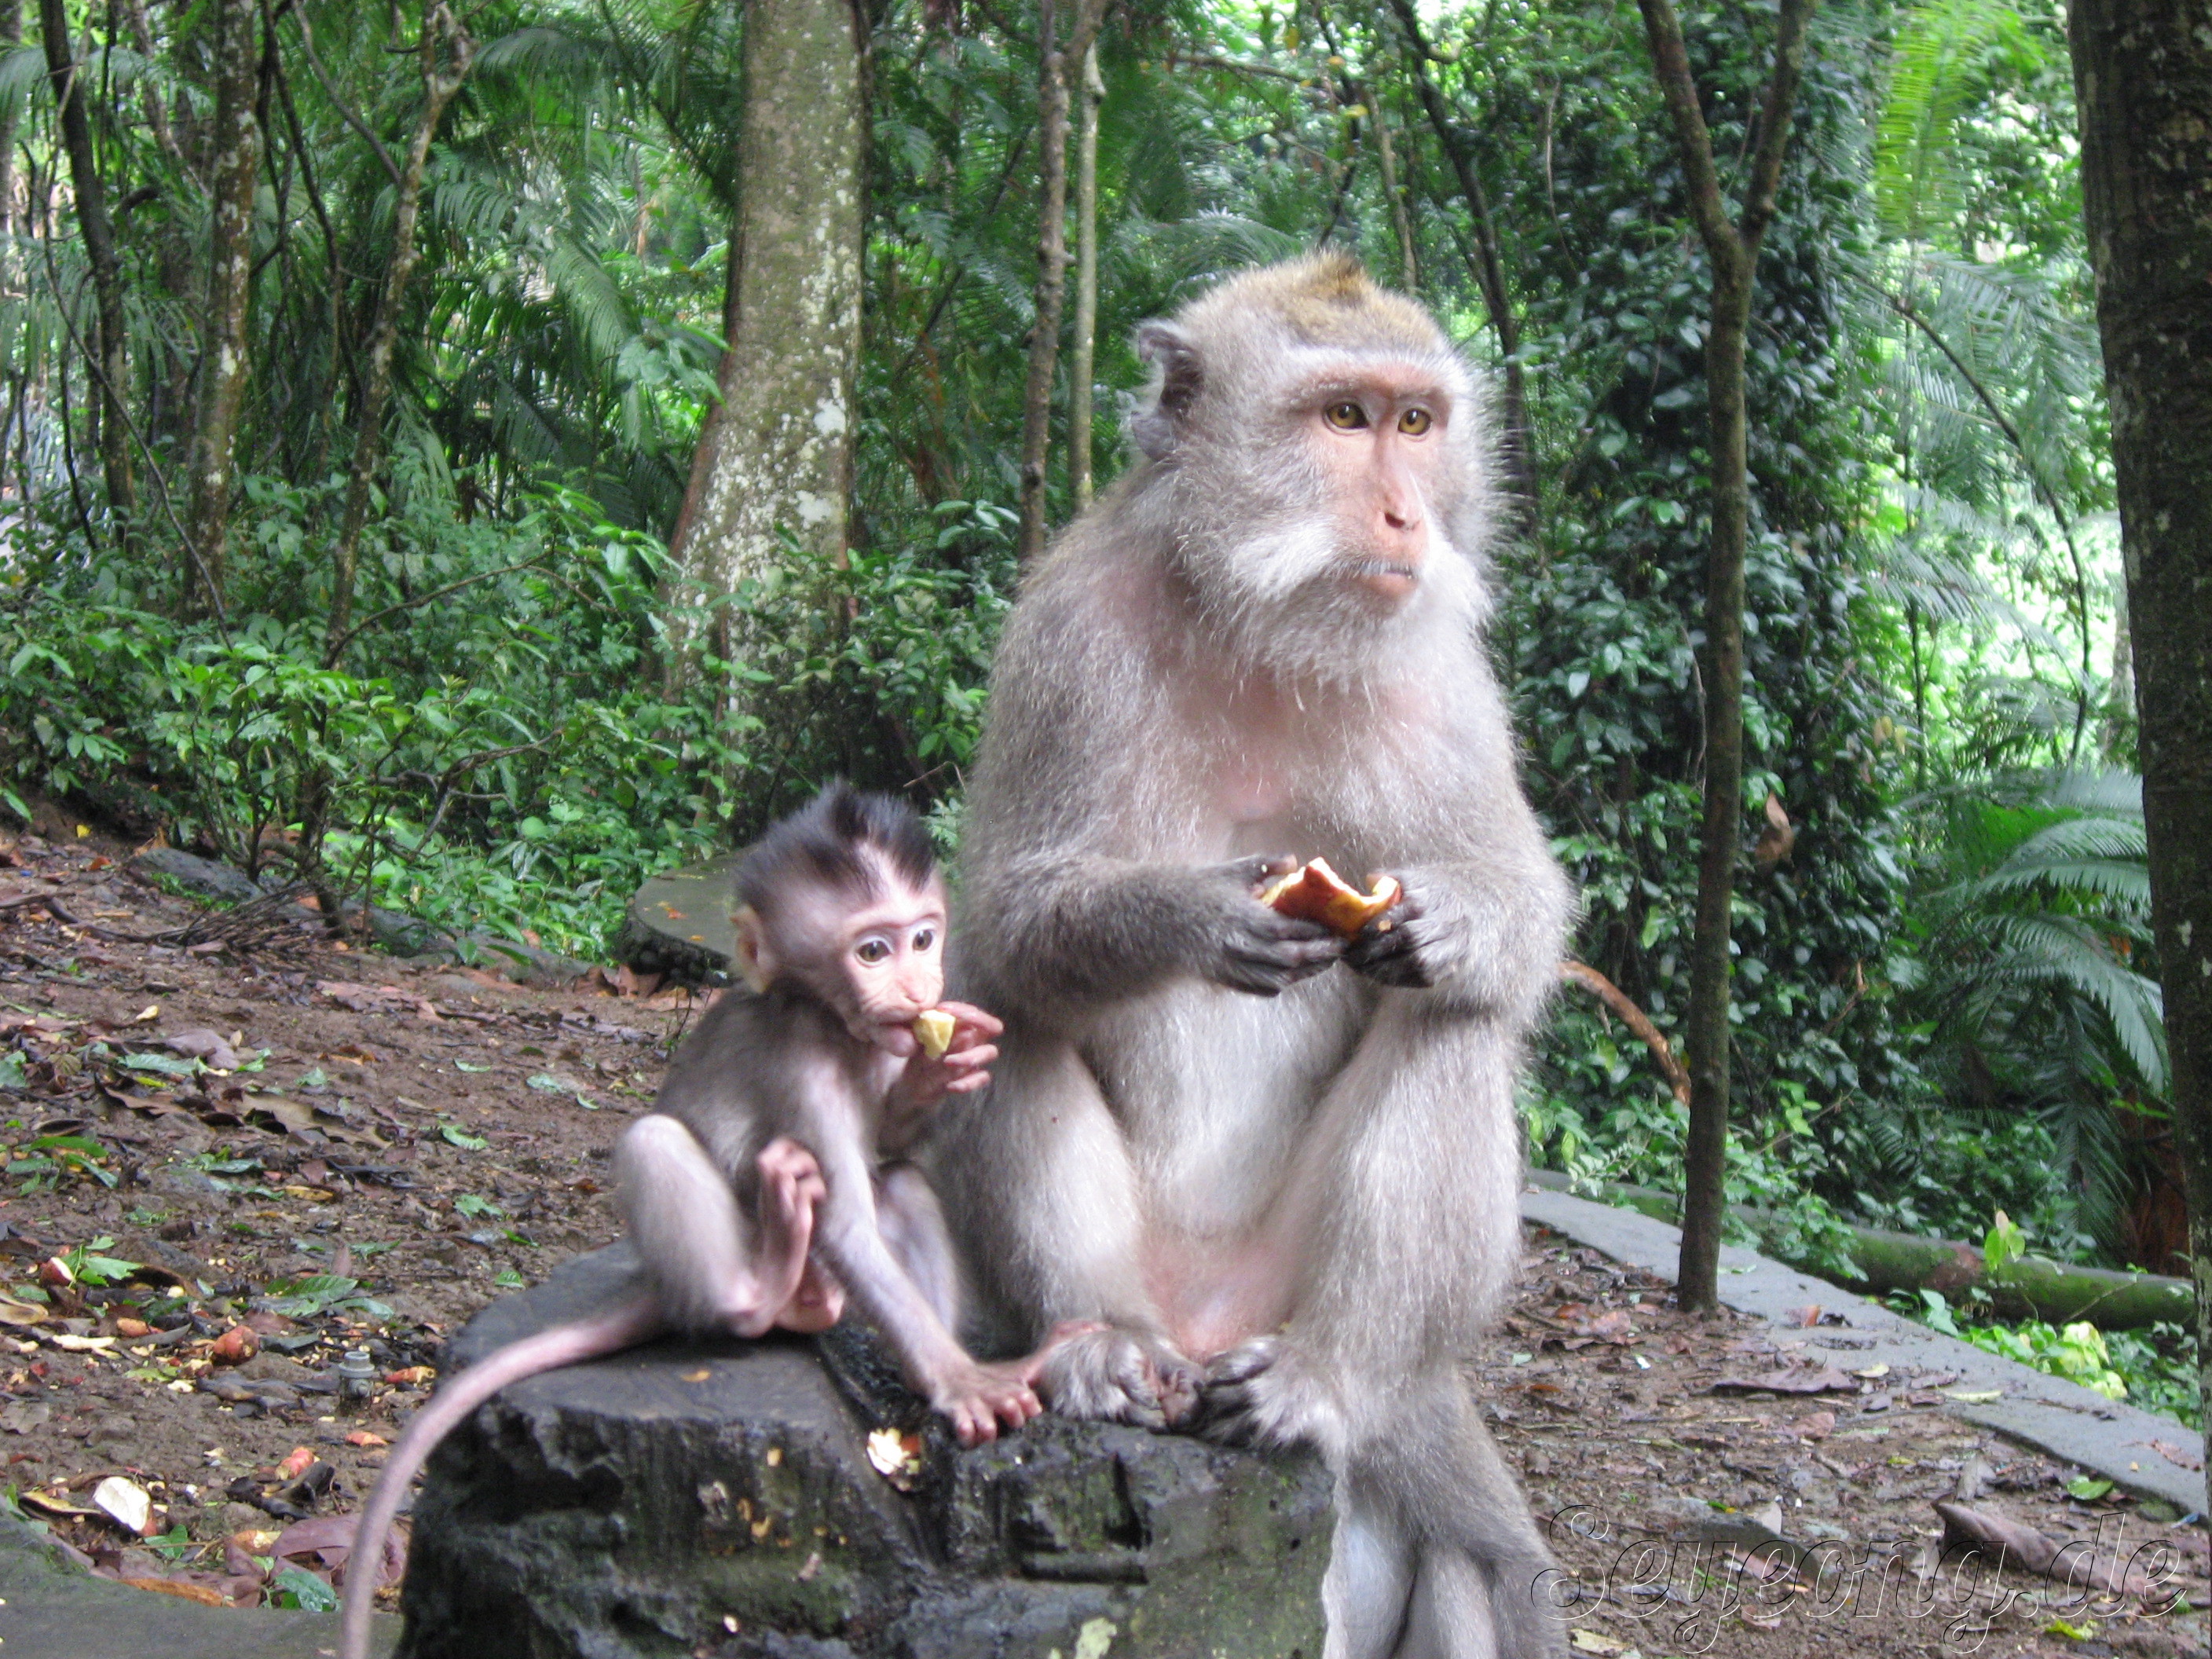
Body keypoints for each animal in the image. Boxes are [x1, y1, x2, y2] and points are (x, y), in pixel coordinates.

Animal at [340, 783, 1070, 1659]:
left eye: (924, 938)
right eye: (872, 951)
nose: (918, 986)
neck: (830, 1021)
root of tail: (662, 1281)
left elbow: (893, 1148)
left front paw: (942, 1068)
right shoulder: (803, 1065)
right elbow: (847, 1228)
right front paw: (963, 1382)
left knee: (901, 1185)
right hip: (714, 1257)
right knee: (663, 1151)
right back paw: (767, 1284)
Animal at [934, 252, 1574, 1658]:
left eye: (1416, 422)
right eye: (1342, 419)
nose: (1403, 515)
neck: (1259, 625)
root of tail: (1206, 1316)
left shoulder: (1444, 677)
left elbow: (1524, 911)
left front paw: (1452, 923)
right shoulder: (1065, 634)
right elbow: (1009, 915)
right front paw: (1190, 916)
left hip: (1289, 1287)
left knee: (1451, 1026)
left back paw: (1331, 1379)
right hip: (1133, 1281)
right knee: (1009, 1000)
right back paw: (1096, 1343)